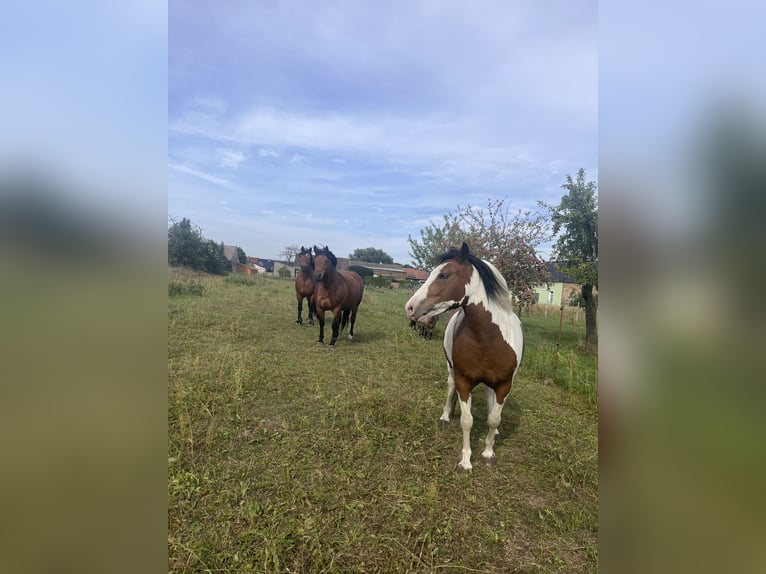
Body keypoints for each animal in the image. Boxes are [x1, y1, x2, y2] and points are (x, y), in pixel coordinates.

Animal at [404, 243, 524, 472]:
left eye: (444, 275)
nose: (410, 307)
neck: (488, 338)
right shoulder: (463, 381)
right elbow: (467, 421)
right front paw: (466, 462)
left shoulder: (504, 384)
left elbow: (494, 418)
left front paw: (488, 453)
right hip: (451, 370)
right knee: (450, 386)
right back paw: (445, 416)